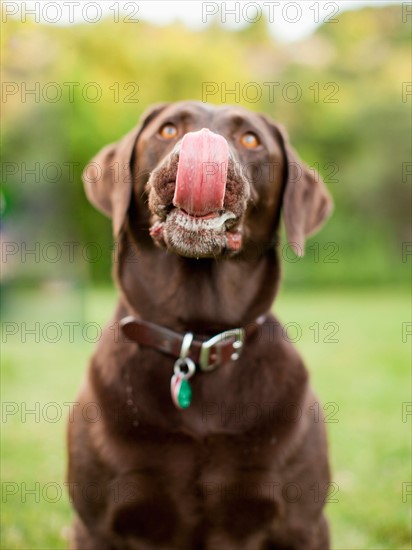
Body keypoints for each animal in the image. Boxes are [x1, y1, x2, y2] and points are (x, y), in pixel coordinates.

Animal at [67, 101, 332, 548]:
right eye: (168, 129)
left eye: (250, 138)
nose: (205, 152)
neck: (197, 336)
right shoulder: (95, 527)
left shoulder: (303, 525)